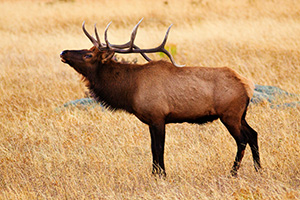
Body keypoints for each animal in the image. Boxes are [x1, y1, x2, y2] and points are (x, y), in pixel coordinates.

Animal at [60, 18, 260, 175]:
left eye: (88, 55)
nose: (63, 52)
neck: (130, 89)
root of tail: (247, 85)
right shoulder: (150, 120)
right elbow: (152, 148)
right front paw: (154, 173)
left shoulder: (158, 116)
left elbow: (159, 148)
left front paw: (161, 175)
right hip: (241, 115)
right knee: (253, 134)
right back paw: (259, 168)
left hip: (230, 114)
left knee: (242, 140)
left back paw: (233, 172)